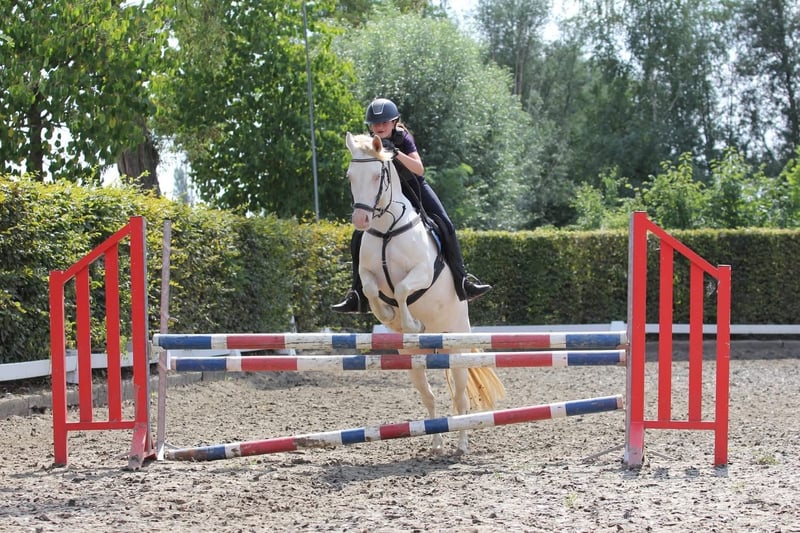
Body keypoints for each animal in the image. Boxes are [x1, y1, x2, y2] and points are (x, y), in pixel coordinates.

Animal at [345, 132, 505, 454]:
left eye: (377, 175)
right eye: (350, 176)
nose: (361, 221)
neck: (387, 229)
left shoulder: (423, 271)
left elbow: (403, 288)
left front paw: (411, 323)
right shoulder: (367, 275)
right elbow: (370, 290)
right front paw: (389, 315)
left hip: (456, 350)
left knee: (460, 399)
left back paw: (461, 445)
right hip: (413, 359)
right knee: (429, 397)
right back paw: (436, 444)